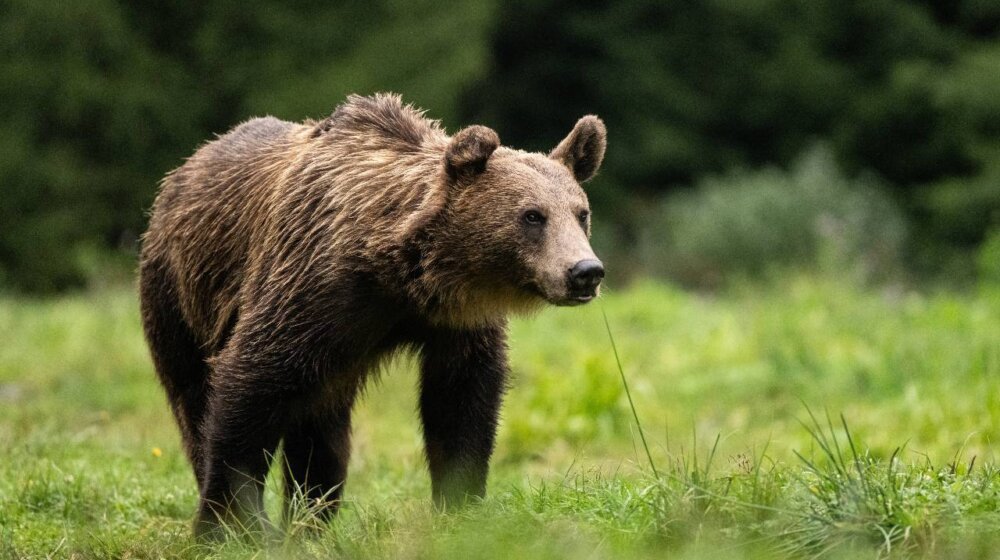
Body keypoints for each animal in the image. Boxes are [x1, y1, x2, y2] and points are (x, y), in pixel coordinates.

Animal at [139, 93, 608, 540]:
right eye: (532, 215)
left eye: (580, 213)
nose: (585, 271)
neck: (401, 272)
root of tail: (184, 169)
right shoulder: (309, 291)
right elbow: (250, 384)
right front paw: (227, 526)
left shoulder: (454, 326)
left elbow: (461, 405)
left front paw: (459, 509)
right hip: (177, 291)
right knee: (192, 394)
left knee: (322, 432)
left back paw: (310, 520)